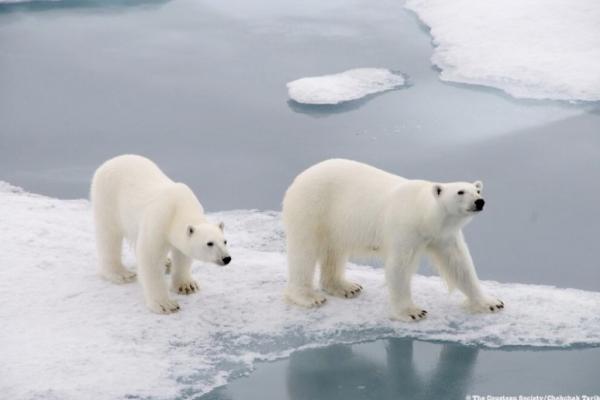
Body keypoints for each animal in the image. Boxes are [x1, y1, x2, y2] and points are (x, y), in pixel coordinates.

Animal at [90, 155, 231, 314]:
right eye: (209, 243)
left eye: (225, 241)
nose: (226, 258)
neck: (179, 208)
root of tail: (111, 161)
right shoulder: (159, 220)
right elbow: (150, 257)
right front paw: (165, 304)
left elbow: (182, 255)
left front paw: (186, 286)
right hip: (107, 198)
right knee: (109, 236)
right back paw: (120, 273)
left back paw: (167, 263)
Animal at [284, 159, 504, 322]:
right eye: (460, 192)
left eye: (477, 190)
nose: (479, 201)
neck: (423, 213)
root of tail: (300, 177)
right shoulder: (405, 230)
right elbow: (399, 268)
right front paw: (412, 312)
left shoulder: (443, 236)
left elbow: (459, 265)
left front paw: (491, 302)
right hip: (313, 208)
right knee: (304, 252)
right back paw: (308, 297)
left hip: (336, 223)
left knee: (334, 251)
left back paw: (345, 287)